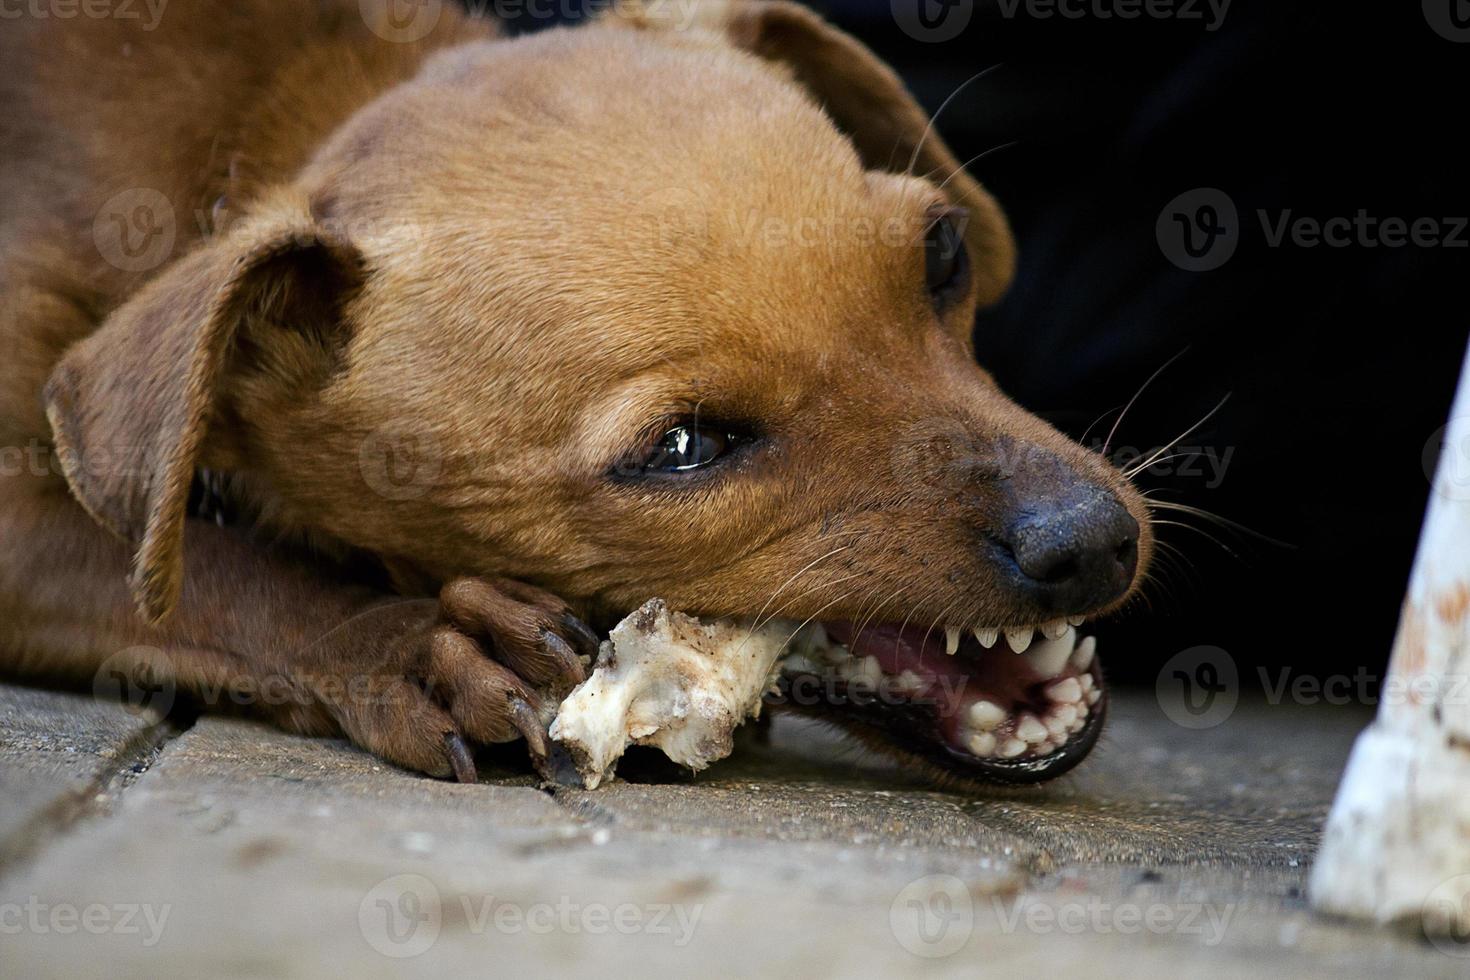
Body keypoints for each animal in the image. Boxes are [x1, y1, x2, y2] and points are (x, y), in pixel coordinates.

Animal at [0, 0, 1146, 781]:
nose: (1094, 541)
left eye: (944, 254)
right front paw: (407, 641)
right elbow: (228, 574)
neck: (253, 129)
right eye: (683, 448)